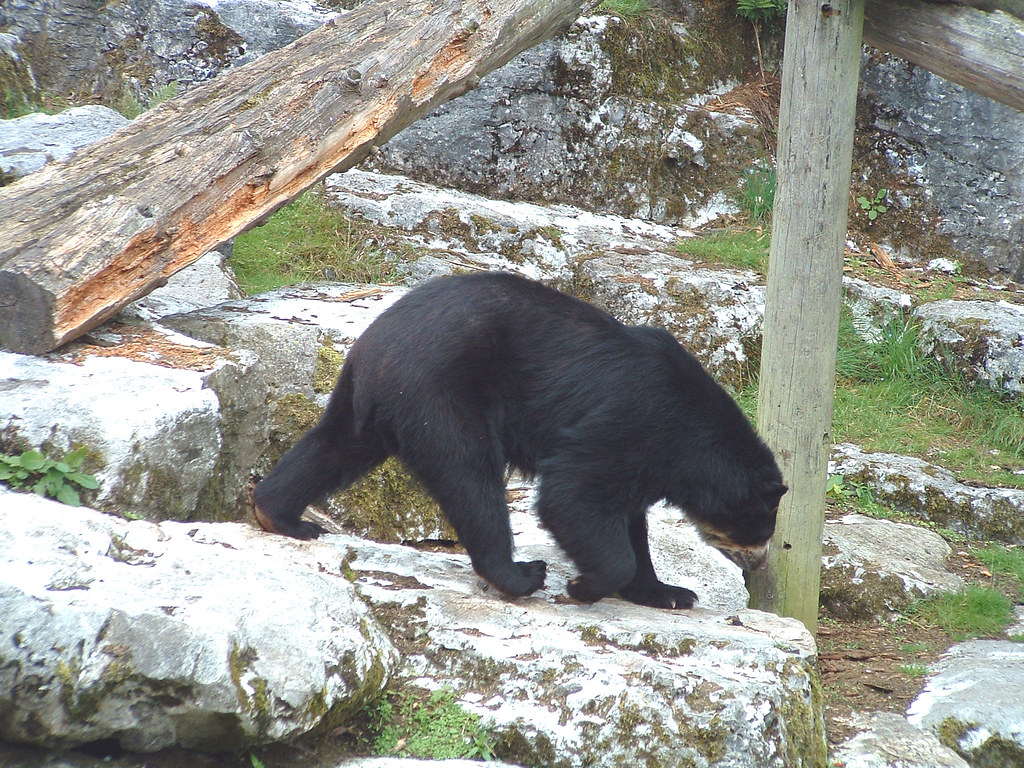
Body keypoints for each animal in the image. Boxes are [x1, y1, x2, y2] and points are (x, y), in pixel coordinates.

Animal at [253, 271, 786, 608]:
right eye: (760, 528)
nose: (760, 564)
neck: (690, 438)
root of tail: (375, 342)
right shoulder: (629, 423)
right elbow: (573, 496)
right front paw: (583, 585)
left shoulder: (646, 456)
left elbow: (627, 517)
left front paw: (670, 593)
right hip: (441, 394)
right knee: (470, 478)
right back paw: (519, 573)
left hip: (374, 400)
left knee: (335, 445)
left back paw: (280, 515)